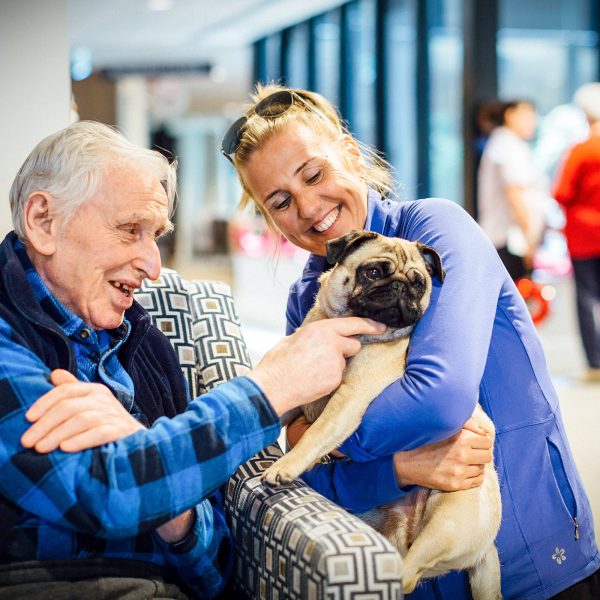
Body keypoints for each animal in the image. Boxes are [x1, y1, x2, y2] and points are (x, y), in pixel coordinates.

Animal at [262, 231, 502, 600]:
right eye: (373, 272)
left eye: (418, 284)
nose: (401, 287)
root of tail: (487, 548)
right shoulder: (300, 385)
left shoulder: (348, 399)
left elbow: (316, 435)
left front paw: (284, 467)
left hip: (446, 524)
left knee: (408, 574)